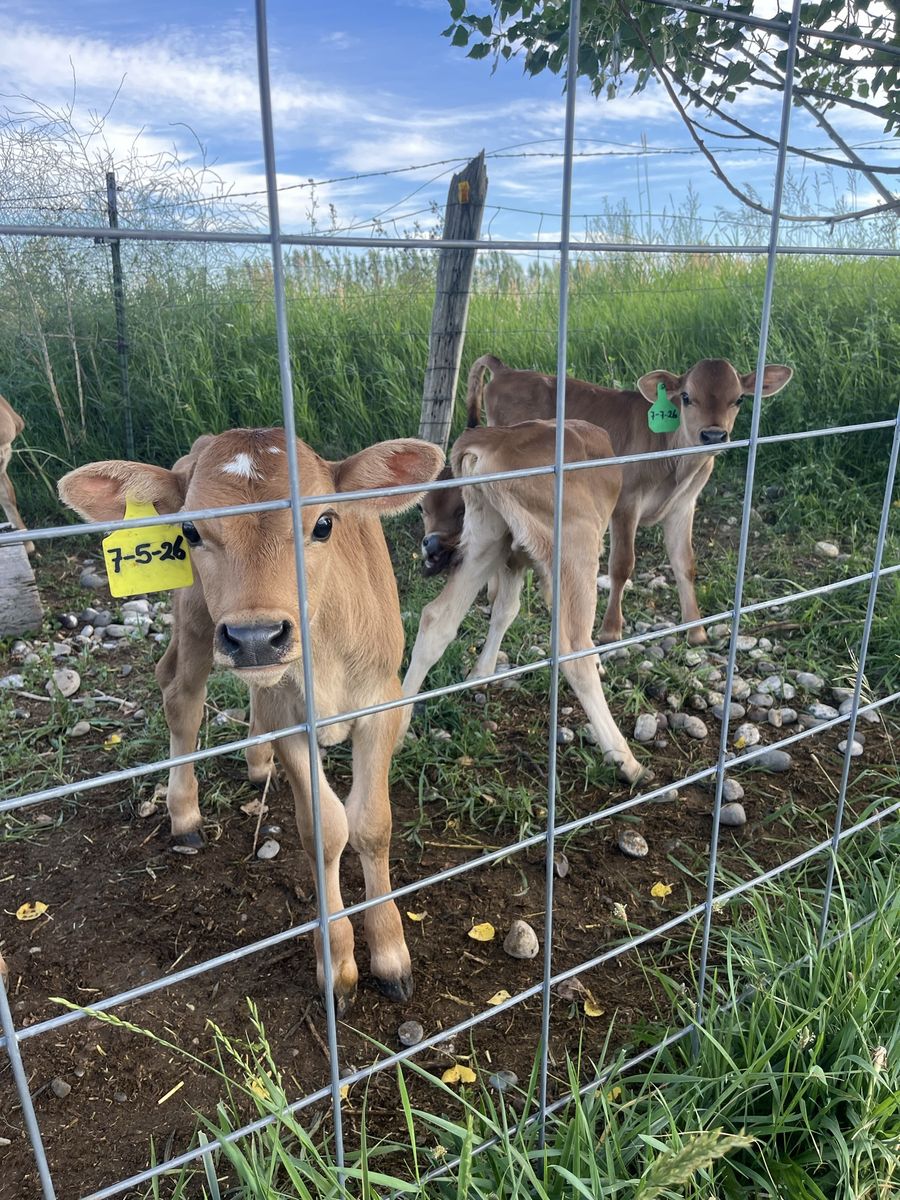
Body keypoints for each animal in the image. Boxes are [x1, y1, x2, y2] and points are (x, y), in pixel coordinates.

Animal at [58, 428, 444, 1011]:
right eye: (191, 529)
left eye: (324, 523)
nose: (257, 636)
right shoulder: (291, 720)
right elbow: (325, 830)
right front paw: (338, 964)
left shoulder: (382, 700)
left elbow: (372, 825)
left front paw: (391, 954)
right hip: (197, 622)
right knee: (180, 694)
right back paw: (185, 814)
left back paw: (258, 762)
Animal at [402, 419, 644, 784]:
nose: (432, 546)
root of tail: (492, 438)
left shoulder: (512, 556)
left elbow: (506, 610)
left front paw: (481, 672)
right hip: (575, 543)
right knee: (571, 647)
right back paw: (625, 759)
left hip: (486, 539)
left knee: (437, 620)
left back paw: (394, 725)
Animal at [455, 355, 793, 645]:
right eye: (686, 397)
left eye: (739, 399)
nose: (713, 435)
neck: (675, 463)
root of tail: (507, 371)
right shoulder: (627, 503)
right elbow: (621, 565)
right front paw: (610, 630)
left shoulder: (683, 506)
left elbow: (685, 563)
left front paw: (695, 629)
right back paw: (495, 592)